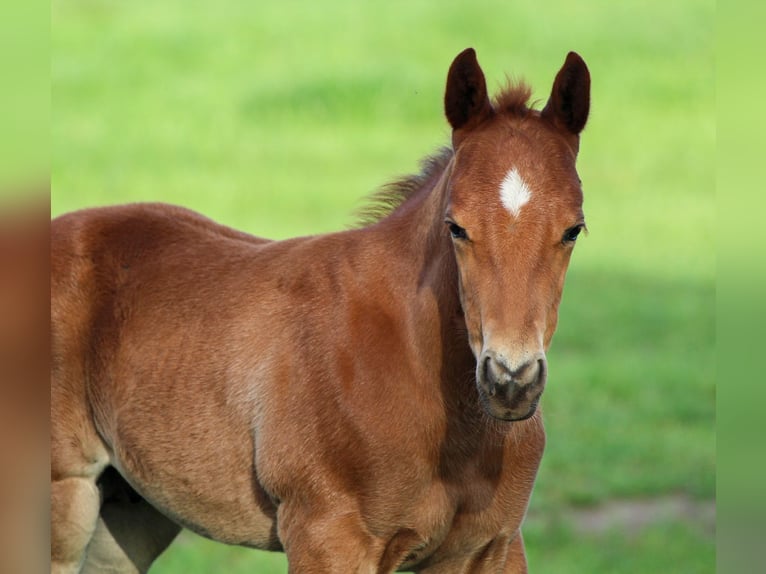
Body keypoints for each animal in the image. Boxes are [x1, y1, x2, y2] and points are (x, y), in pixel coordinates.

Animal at [51, 48, 590, 573]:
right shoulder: (326, 538)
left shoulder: (491, 546)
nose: (511, 380)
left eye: (573, 229)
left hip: (133, 509)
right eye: (456, 226)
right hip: (66, 496)